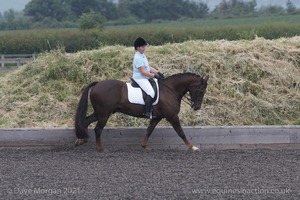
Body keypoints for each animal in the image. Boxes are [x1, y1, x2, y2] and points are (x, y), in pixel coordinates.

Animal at [74, 72, 209, 152]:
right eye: (201, 90)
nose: (196, 107)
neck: (170, 90)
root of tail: (97, 84)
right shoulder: (172, 116)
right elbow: (181, 132)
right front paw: (192, 147)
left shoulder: (157, 117)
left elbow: (149, 130)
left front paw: (144, 145)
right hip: (104, 114)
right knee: (97, 129)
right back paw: (100, 148)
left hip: (100, 113)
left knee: (86, 121)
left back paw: (81, 140)